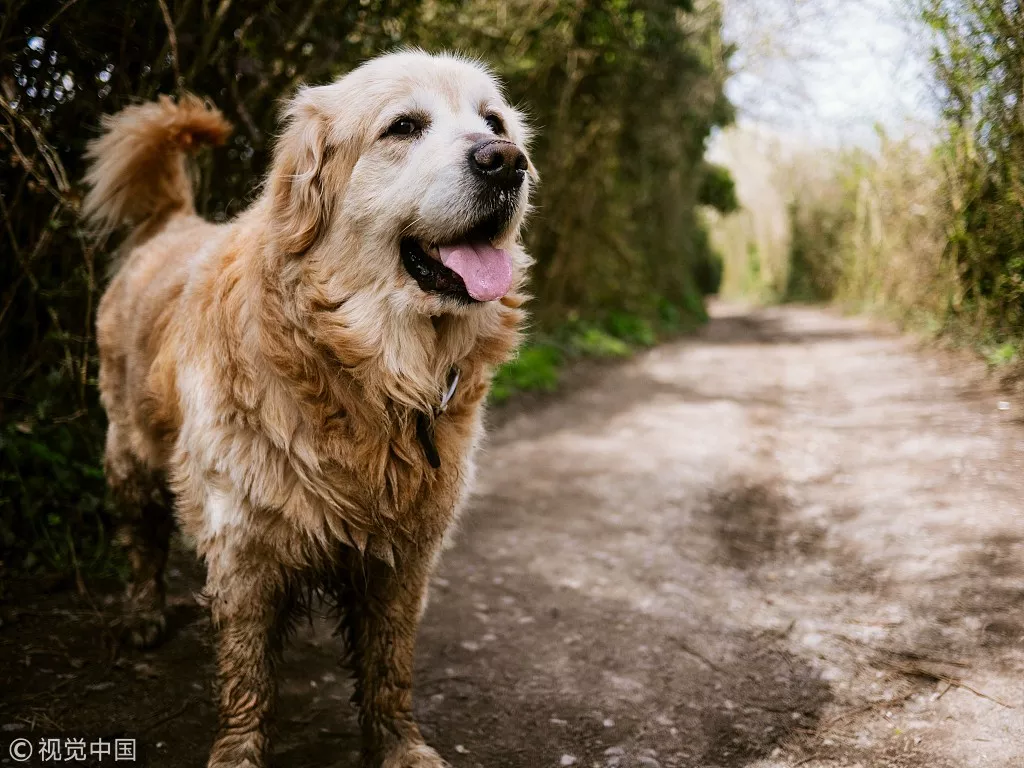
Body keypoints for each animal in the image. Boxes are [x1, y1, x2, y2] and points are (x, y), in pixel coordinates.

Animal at [81, 49, 536, 768]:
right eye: (403, 126)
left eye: (493, 121)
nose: (506, 160)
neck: (368, 376)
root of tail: (176, 220)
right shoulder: (243, 546)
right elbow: (246, 671)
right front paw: (239, 750)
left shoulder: (405, 556)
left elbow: (389, 666)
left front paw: (399, 745)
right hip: (128, 456)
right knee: (143, 543)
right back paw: (145, 611)